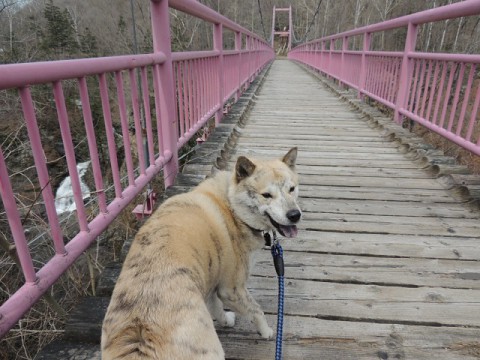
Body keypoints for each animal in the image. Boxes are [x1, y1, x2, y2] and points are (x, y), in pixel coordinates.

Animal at [101, 148, 302, 358]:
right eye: (266, 195)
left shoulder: (213, 282)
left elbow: (216, 308)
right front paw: (266, 331)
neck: (231, 206)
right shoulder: (232, 289)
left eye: (292, 189)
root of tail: (141, 331)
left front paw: (226, 321)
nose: (294, 215)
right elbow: (256, 310)